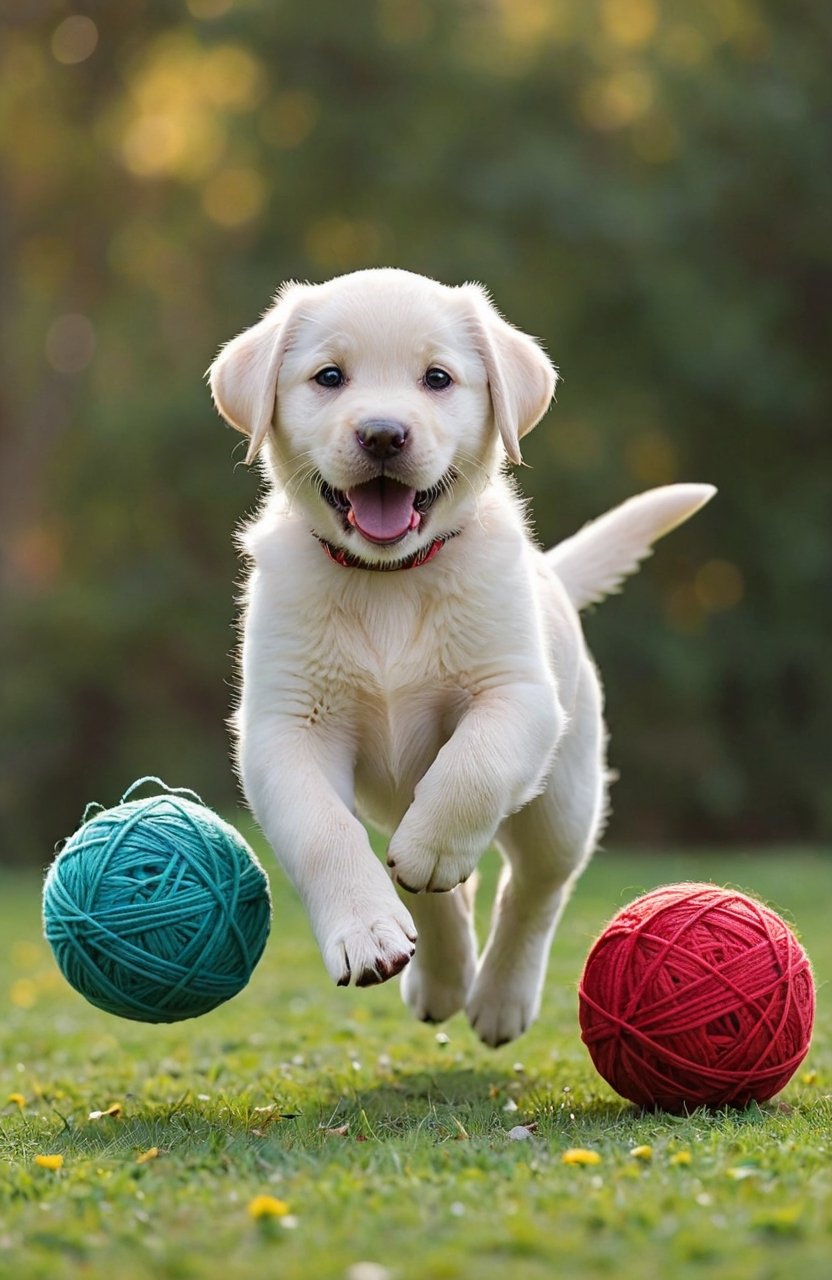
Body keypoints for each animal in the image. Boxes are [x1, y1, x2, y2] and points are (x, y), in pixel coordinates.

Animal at [208, 264, 711, 1044]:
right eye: (329, 377)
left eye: (438, 378)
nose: (383, 434)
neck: (389, 579)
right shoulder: (285, 729)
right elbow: (324, 834)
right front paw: (366, 933)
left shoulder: (517, 694)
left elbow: (474, 768)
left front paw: (435, 846)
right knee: (431, 893)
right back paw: (438, 976)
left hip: (564, 796)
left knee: (532, 889)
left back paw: (500, 995)